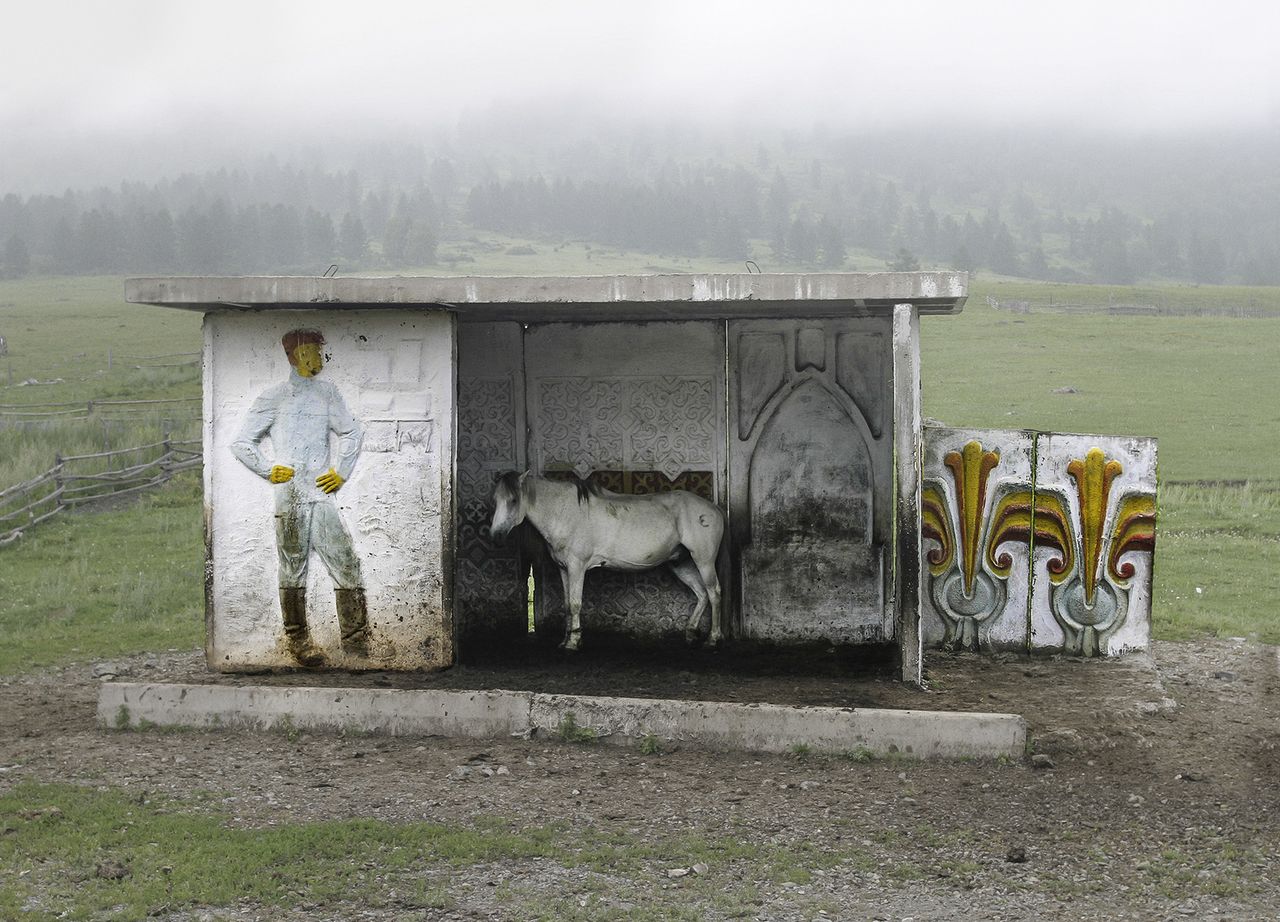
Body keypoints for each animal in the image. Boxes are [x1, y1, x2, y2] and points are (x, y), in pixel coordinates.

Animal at [488, 471, 727, 653]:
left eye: (513, 500)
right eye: (495, 501)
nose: (496, 537)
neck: (564, 513)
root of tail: (715, 509)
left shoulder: (577, 567)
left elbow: (575, 604)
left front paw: (573, 642)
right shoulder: (564, 569)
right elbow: (566, 605)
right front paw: (565, 640)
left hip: (703, 560)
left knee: (714, 593)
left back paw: (712, 639)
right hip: (681, 563)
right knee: (701, 594)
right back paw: (691, 634)